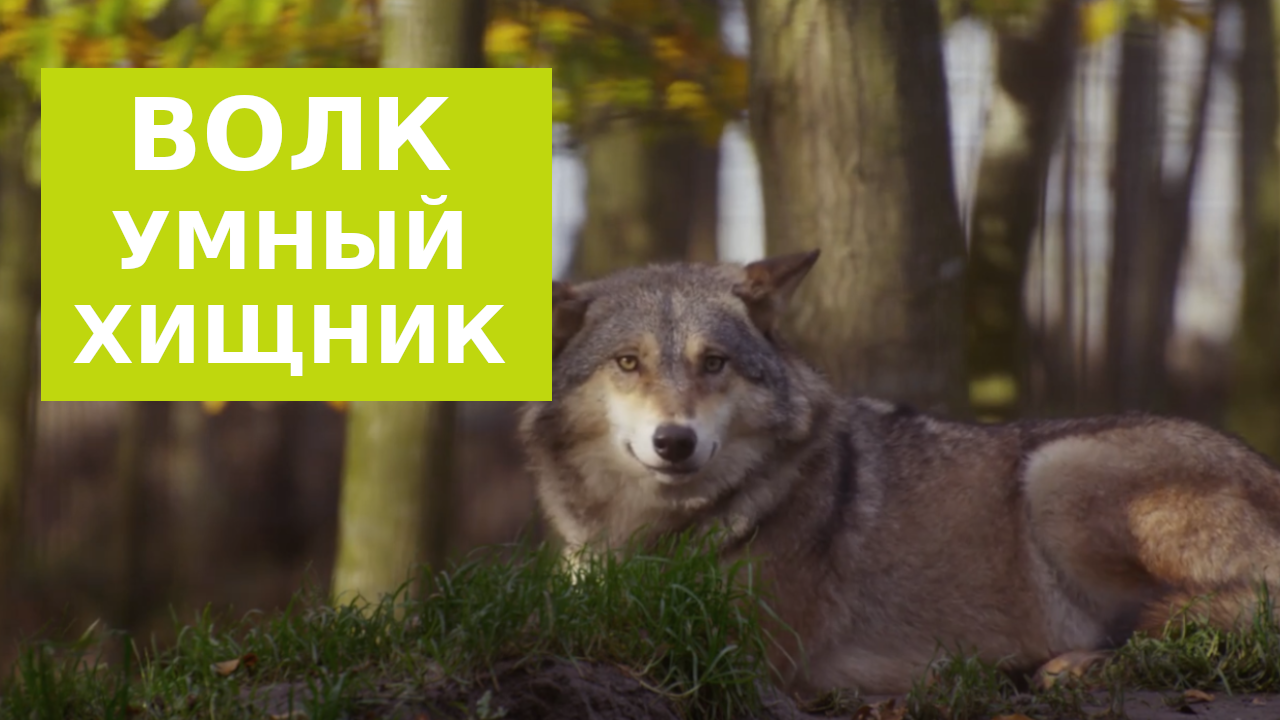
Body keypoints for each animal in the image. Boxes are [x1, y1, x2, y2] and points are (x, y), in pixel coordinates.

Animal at [518, 250, 1280, 696]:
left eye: (714, 363)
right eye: (628, 362)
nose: (674, 442)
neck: (651, 534)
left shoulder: (738, 647)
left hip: (1055, 470)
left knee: (1222, 618)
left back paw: (1070, 665)